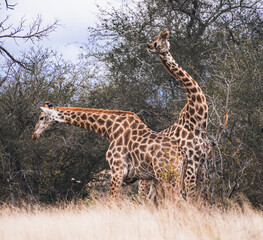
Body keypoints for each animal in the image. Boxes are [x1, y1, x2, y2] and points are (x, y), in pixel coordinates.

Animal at [32, 103, 191, 201]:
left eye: (41, 117)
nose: (34, 135)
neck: (109, 129)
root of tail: (183, 154)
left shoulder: (117, 171)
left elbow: (111, 203)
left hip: (167, 176)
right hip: (174, 177)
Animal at [139, 29, 209, 199]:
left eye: (158, 40)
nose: (148, 46)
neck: (198, 119)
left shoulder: (203, 162)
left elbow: (206, 197)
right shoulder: (190, 162)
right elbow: (191, 196)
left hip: (156, 178)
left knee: (150, 198)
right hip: (145, 177)